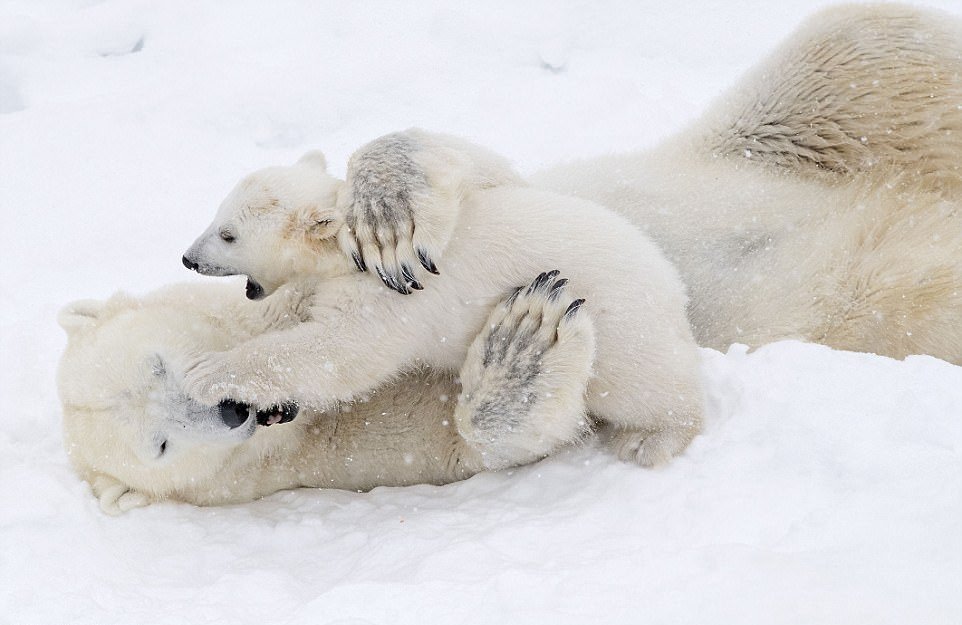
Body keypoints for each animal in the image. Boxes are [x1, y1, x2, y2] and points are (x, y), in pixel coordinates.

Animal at [56, 276, 596, 516]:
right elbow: (465, 442)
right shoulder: (347, 457)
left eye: (159, 365)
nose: (232, 409)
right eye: (161, 445)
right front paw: (526, 337)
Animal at [182, 133, 704, 464]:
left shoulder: (390, 294)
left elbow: (338, 353)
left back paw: (650, 439)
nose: (188, 258)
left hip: (624, 336)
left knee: (647, 388)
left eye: (228, 235)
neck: (345, 253)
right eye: (216, 214)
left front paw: (205, 372)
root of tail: (673, 293)